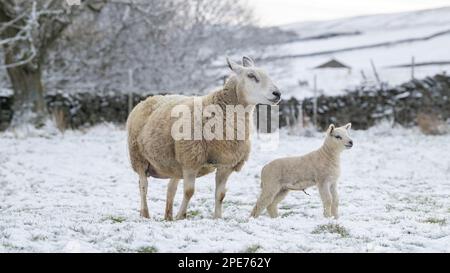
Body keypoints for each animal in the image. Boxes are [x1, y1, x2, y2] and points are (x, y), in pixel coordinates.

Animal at [126, 56, 282, 220]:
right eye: (251, 76)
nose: (277, 93)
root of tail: (149, 98)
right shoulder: (191, 160)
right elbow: (189, 192)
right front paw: (181, 216)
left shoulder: (226, 164)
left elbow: (220, 195)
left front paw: (217, 217)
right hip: (139, 158)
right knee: (143, 186)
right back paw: (145, 214)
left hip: (175, 164)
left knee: (171, 188)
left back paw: (168, 217)